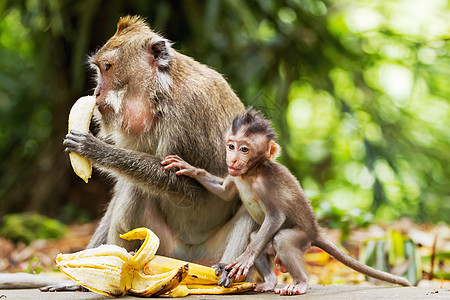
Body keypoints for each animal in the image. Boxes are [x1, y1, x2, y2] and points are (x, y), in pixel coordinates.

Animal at [43, 15, 255, 290]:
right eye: (99, 69)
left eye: (108, 67)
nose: (96, 92)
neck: (161, 94)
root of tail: (190, 260)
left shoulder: (187, 114)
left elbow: (192, 191)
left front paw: (98, 151)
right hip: (165, 251)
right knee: (133, 189)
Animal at [162, 108, 412, 296]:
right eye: (231, 146)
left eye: (244, 149)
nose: (232, 159)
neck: (250, 173)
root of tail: (315, 231)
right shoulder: (234, 176)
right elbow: (224, 192)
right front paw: (190, 169)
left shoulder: (266, 186)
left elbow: (275, 217)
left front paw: (244, 259)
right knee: (257, 237)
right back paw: (270, 282)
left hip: (301, 236)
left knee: (282, 239)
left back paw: (300, 283)